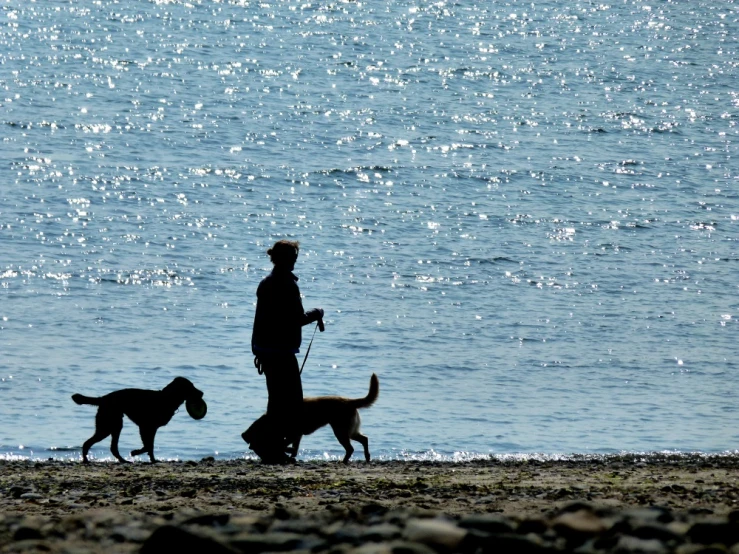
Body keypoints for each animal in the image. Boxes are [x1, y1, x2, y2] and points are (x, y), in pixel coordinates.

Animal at [71, 376, 202, 462]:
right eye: (190, 387)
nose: (202, 393)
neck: (166, 398)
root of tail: (102, 398)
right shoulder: (146, 427)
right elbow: (148, 446)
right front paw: (135, 452)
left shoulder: (151, 429)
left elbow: (150, 446)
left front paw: (153, 460)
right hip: (108, 426)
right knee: (87, 443)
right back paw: (86, 460)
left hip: (114, 426)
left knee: (112, 448)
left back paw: (123, 461)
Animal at [244, 370, 382, 462]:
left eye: (258, 448)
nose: (264, 459)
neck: (271, 421)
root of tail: (348, 401)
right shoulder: (296, 436)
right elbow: (292, 448)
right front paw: (291, 454)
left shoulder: (293, 434)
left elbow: (283, 445)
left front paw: (286, 451)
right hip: (349, 431)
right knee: (364, 439)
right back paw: (367, 456)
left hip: (341, 431)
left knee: (350, 448)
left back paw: (344, 461)